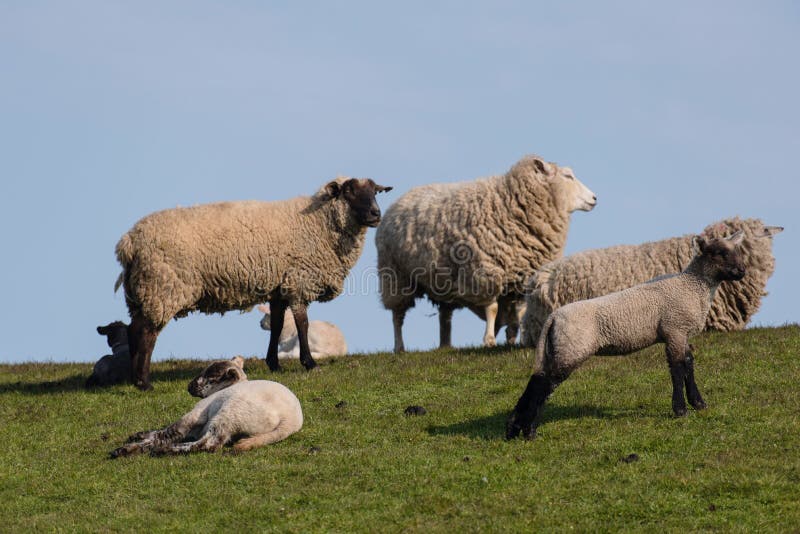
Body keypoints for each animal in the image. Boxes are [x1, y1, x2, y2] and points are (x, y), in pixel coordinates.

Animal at [109, 378, 303, 456]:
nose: (189, 387)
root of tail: (290, 420)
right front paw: (139, 436)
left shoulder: (195, 415)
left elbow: (168, 432)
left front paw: (128, 448)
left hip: (230, 413)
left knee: (209, 444)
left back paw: (166, 450)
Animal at [114, 177, 392, 390]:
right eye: (349, 191)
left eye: (375, 191)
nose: (376, 214)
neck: (318, 223)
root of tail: (129, 242)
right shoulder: (299, 280)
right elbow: (302, 324)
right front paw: (309, 363)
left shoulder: (280, 286)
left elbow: (277, 325)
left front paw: (274, 364)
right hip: (162, 287)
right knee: (147, 333)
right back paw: (144, 382)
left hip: (142, 290)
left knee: (133, 329)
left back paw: (131, 379)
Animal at [375, 155, 597, 353]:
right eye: (568, 176)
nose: (594, 198)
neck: (512, 204)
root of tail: (402, 198)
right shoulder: (486, 271)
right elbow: (492, 308)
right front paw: (489, 339)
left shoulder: (522, 278)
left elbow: (520, 311)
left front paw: (514, 339)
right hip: (395, 277)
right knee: (397, 316)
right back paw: (399, 347)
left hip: (442, 278)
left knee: (445, 316)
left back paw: (445, 345)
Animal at [506, 231, 747, 440]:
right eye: (719, 253)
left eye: (737, 250)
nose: (742, 271)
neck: (693, 286)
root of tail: (553, 317)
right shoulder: (674, 329)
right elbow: (678, 369)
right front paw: (680, 410)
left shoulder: (682, 333)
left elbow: (689, 365)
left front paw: (698, 404)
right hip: (571, 349)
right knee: (545, 385)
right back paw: (529, 432)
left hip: (556, 349)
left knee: (536, 381)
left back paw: (514, 430)